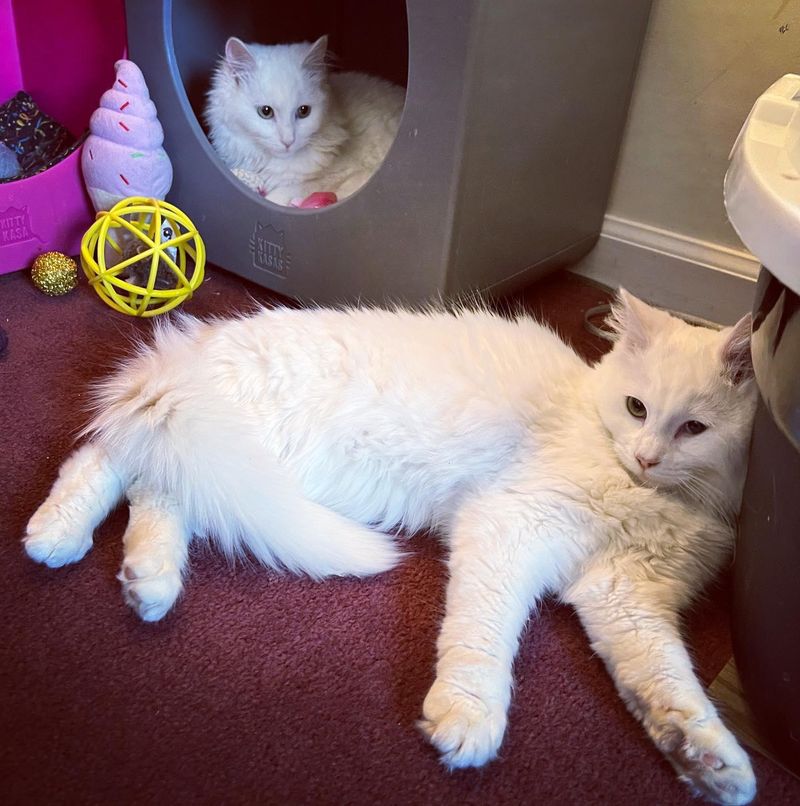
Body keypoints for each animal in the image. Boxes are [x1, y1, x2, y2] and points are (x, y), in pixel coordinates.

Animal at [26, 294, 756, 804]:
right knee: (106, 459)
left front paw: (712, 762)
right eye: (636, 409)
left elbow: (670, 685)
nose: (647, 456)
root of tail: (197, 343)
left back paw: (147, 581)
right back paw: (57, 536)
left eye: (693, 429)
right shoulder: (508, 523)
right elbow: (483, 641)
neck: (643, 493)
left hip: (221, 464)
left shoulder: (626, 594)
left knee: (154, 490)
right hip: (224, 445)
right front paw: (468, 719)